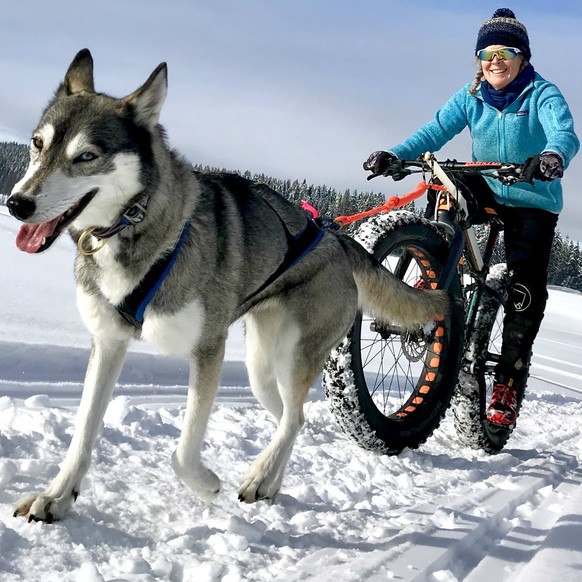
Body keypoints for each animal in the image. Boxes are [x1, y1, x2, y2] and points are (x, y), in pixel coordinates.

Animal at [6, 50, 450, 524]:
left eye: (86, 155)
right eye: (37, 144)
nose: (16, 203)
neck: (138, 225)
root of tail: (337, 238)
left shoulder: (208, 350)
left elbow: (183, 451)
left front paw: (205, 483)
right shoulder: (108, 343)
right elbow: (83, 433)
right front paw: (56, 496)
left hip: (294, 355)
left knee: (292, 418)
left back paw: (258, 476)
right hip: (261, 368)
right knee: (293, 418)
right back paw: (270, 482)